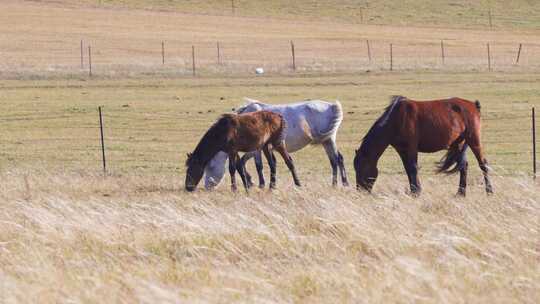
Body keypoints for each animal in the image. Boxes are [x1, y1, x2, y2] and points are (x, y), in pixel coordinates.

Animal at [204, 98, 350, 189]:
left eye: (210, 166)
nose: (206, 187)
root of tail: (331, 106)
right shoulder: (254, 150)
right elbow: (243, 163)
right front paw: (251, 182)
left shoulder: (256, 149)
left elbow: (258, 166)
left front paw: (261, 184)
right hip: (326, 141)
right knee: (335, 160)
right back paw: (337, 184)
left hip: (329, 139)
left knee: (337, 159)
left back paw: (342, 183)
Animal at [354, 95, 494, 197]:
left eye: (361, 167)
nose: (360, 190)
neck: (395, 120)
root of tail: (473, 105)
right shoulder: (401, 150)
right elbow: (408, 169)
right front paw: (413, 190)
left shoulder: (411, 147)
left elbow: (413, 168)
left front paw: (416, 192)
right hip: (458, 144)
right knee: (463, 166)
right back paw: (460, 193)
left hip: (473, 139)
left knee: (483, 164)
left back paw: (489, 191)